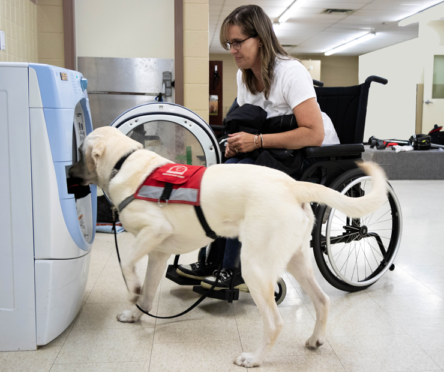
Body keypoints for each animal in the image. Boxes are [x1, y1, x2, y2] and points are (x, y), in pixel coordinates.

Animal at [68, 126, 386, 368]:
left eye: (79, 149)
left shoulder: (154, 231)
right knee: (322, 300)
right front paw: (135, 313)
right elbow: (147, 292)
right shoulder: (158, 252)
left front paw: (132, 290)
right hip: (295, 260)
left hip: (256, 268)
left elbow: (126, 264)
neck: (124, 163)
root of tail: (293, 185)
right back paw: (315, 338)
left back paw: (254, 359)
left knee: (275, 323)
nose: (67, 170)